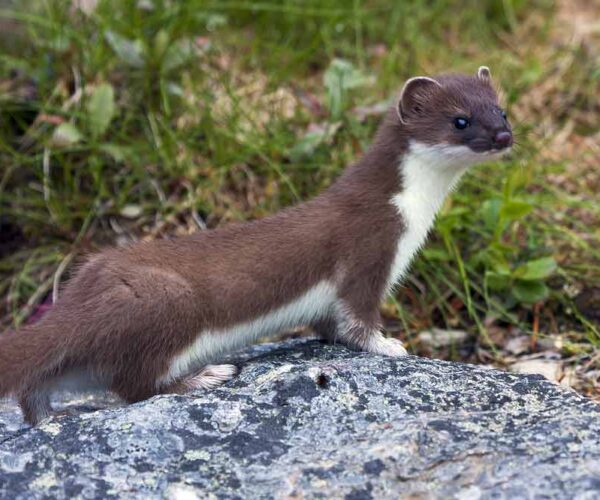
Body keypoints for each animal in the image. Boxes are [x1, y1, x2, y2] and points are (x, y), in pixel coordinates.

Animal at [1, 66, 510, 424]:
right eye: (460, 120)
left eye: (501, 109)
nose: (505, 136)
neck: (415, 215)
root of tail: (81, 293)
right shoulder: (368, 252)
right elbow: (357, 317)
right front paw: (388, 345)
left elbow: (328, 323)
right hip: (168, 304)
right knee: (132, 383)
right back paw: (204, 376)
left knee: (38, 382)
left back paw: (49, 415)